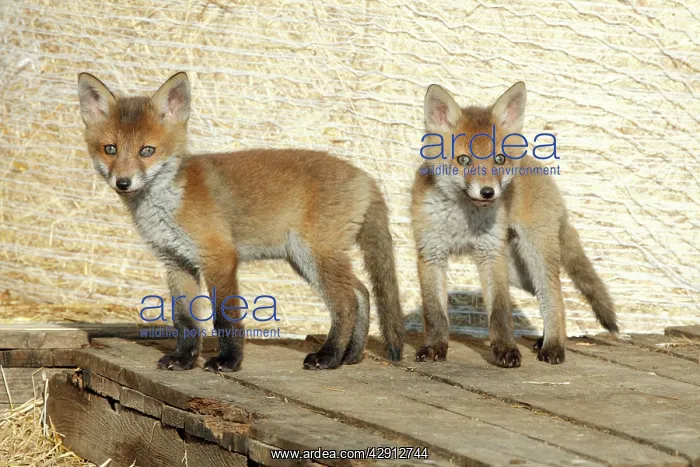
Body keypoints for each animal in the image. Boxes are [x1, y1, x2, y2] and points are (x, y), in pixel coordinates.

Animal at [77, 72, 405, 371]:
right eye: (110, 149)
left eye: (147, 151)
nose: (123, 182)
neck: (169, 202)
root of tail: (364, 176)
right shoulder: (176, 262)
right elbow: (185, 319)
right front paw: (184, 359)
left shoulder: (219, 257)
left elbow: (225, 316)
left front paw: (229, 361)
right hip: (305, 259)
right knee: (362, 293)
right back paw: (352, 355)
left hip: (314, 255)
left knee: (347, 303)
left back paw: (329, 356)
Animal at [411, 82, 618, 367]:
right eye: (464, 160)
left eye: (499, 160)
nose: (488, 192)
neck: (462, 221)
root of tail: (537, 166)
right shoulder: (431, 253)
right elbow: (435, 313)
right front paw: (434, 347)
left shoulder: (490, 255)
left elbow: (500, 311)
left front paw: (506, 350)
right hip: (518, 271)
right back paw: (545, 339)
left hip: (534, 253)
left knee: (554, 295)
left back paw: (553, 345)